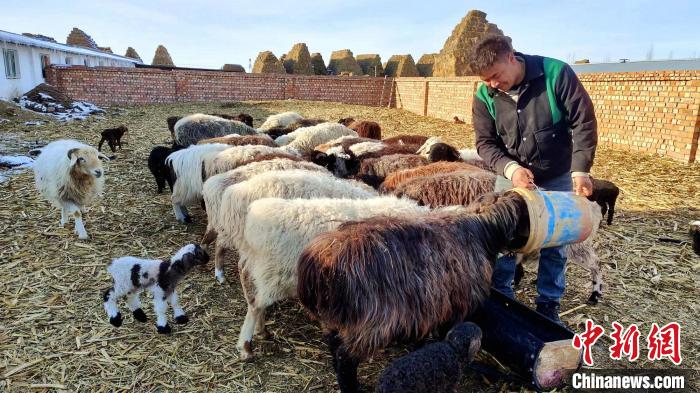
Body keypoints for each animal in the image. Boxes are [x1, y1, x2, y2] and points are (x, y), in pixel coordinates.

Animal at [235, 194, 426, 360]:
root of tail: (256, 217)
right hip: (277, 275)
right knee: (256, 306)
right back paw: (246, 347)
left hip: (266, 273)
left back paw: (262, 331)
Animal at [296, 191, 532, 392]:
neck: (482, 231)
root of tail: (319, 262)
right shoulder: (455, 302)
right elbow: (447, 332)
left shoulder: (429, 303)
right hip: (371, 321)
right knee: (345, 358)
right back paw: (351, 387)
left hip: (337, 318)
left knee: (334, 345)